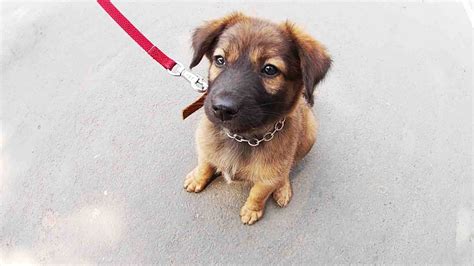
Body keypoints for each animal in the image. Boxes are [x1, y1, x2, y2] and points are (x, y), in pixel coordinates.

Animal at [183, 12, 332, 224]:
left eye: (270, 69)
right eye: (219, 59)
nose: (222, 109)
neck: (243, 137)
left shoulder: (268, 177)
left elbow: (258, 193)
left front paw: (252, 210)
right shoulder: (205, 146)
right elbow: (205, 164)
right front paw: (197, 178)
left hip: (309, 134)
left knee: (289, 166)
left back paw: (283, 187)